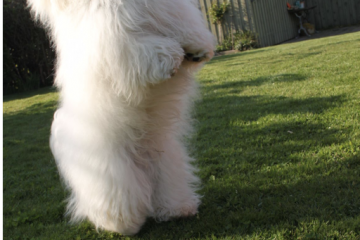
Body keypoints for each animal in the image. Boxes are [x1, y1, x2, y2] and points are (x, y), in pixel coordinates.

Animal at [28, 0, 214, 234]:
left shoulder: (169, 12)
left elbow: (184, 27)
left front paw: (198, 49)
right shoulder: (116, 41)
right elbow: (141, 48)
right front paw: (170, 57)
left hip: (166, 157)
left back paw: (178, 209)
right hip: (110, 170)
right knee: (116, 198)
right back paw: (121, 224)